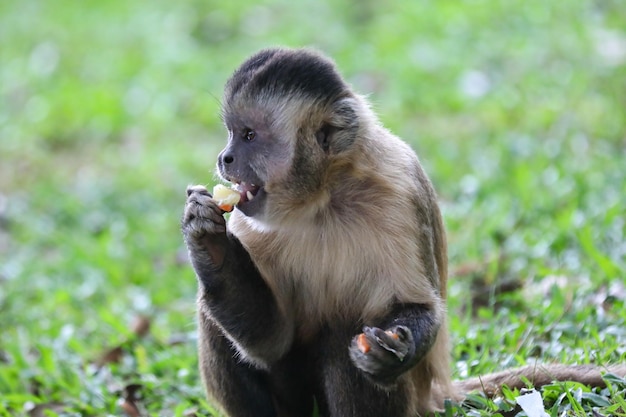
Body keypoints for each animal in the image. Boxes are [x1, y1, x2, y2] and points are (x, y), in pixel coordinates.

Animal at [179, 47, 620, 414]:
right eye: (232, 133)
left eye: (249, 135)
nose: (225, 157)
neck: (325, 196)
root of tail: (435, 395)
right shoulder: (252, 224)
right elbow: (270, 340)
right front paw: (211, 244)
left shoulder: (400, 191)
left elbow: (414, 310)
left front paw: (392, 353)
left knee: (346, 332)